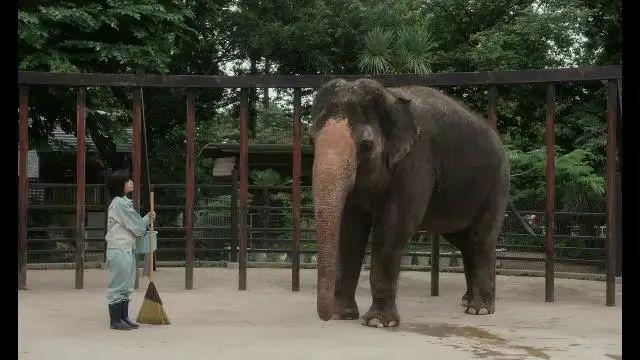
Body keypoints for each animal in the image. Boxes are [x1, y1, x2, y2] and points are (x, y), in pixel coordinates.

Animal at [310, 77, 510, 328]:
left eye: (366, 145)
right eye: (311, 140)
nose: (326, 317)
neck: (391, 98)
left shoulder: (415, 162)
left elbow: (395, 225)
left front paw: (378, 323)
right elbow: (350, 230)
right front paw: (342, 315)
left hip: (497, 184)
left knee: (481, 238)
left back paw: (479, 310)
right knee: (463, 242)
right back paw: (467, 301)